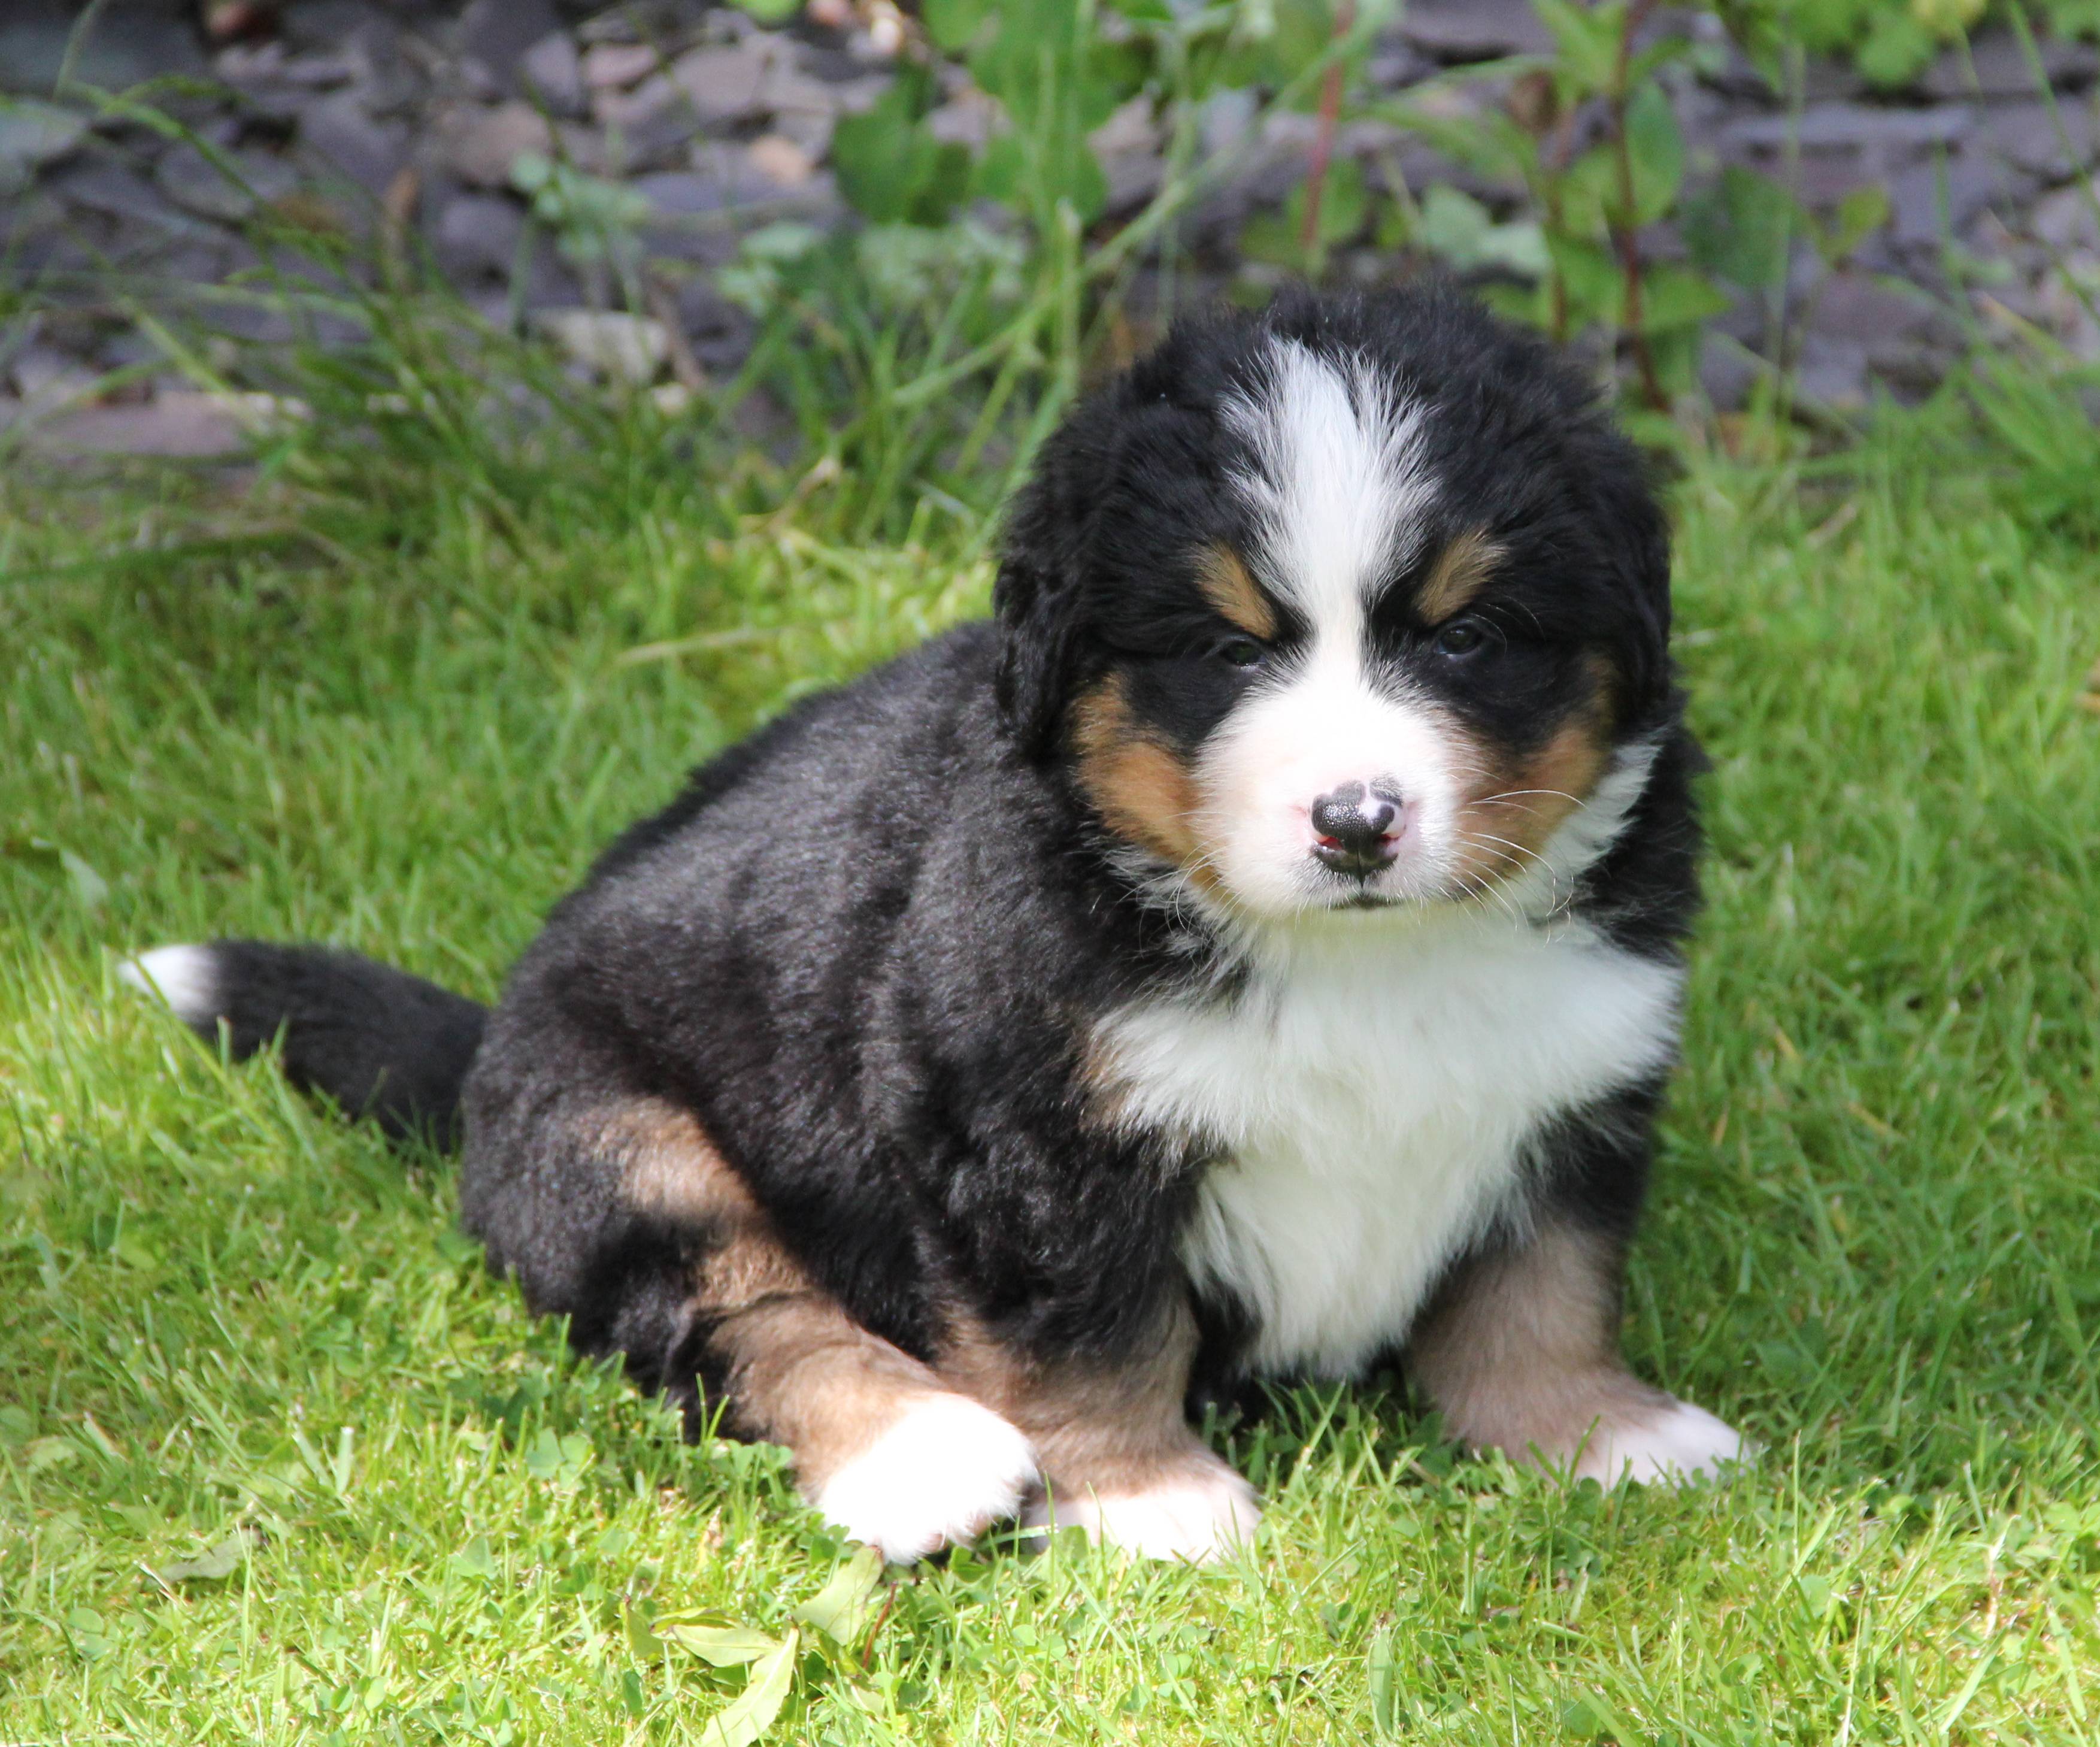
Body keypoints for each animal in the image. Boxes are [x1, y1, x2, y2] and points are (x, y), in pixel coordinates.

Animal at [123, 289, 1747, 1570]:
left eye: (1467, 636)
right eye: (1224, 650)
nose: (1356, 820)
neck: (1360, 958)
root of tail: (489, 1045)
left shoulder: (1575, 1076)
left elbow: (1540, 1288)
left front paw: (1597, 1431)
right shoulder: (1021, 1124)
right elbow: (1086, 1330)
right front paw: (1151, 1503)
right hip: (611, 1127)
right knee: (744, 1309)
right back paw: (922, 1459)